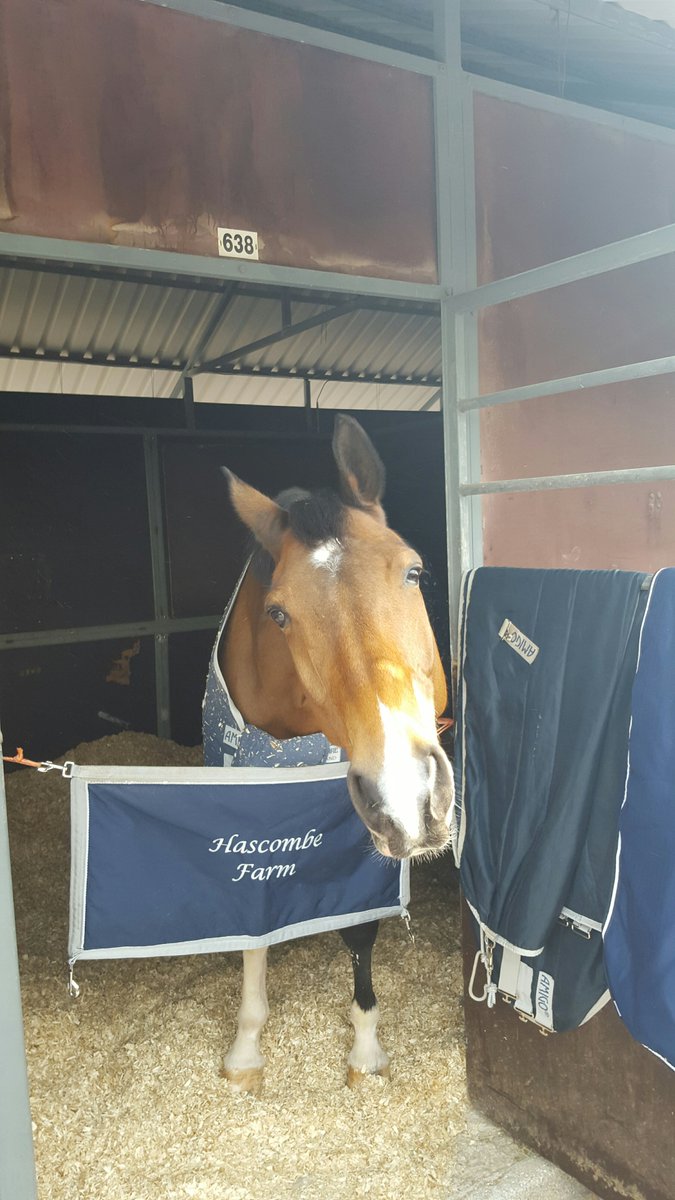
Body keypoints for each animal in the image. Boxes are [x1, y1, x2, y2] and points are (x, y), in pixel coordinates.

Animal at [215, 414, 454, 1094]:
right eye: (279, 613)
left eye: (414, 573)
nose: (407, 790)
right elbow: (253, 925)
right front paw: (246, 1048)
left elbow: (361, 924)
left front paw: (365, 1046)